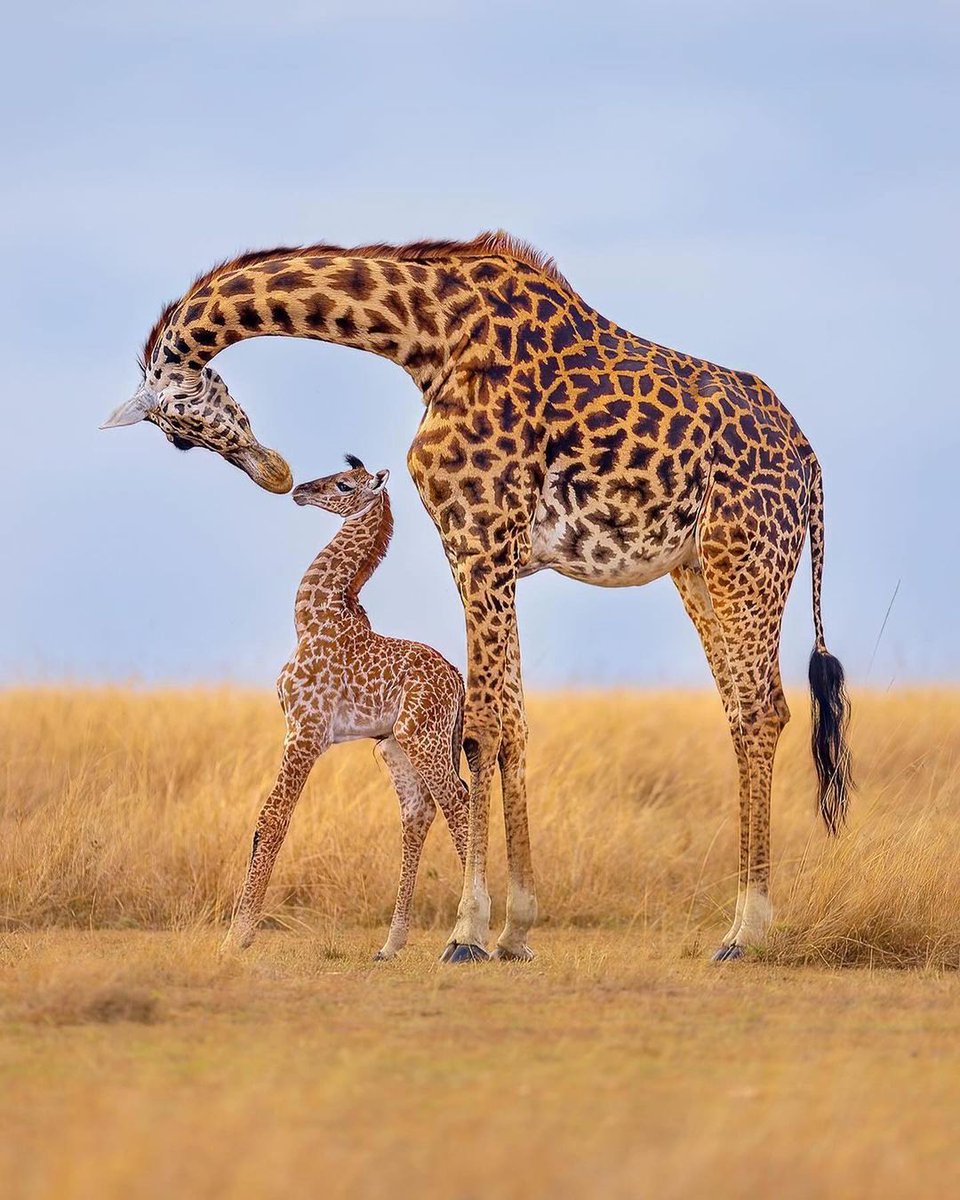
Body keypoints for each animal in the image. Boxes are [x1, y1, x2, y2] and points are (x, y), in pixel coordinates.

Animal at [222, 453, 468, 960]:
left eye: (343, 484)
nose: (300, 491)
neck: (312, 620)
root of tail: (456, 679)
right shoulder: (306, 731)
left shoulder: (305, 730)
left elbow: (273, 818)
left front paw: (237, 937)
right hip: (395, 745)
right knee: (418, 813)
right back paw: (390, 945)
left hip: (424, 737)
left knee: (458, 800)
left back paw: (468, 936)